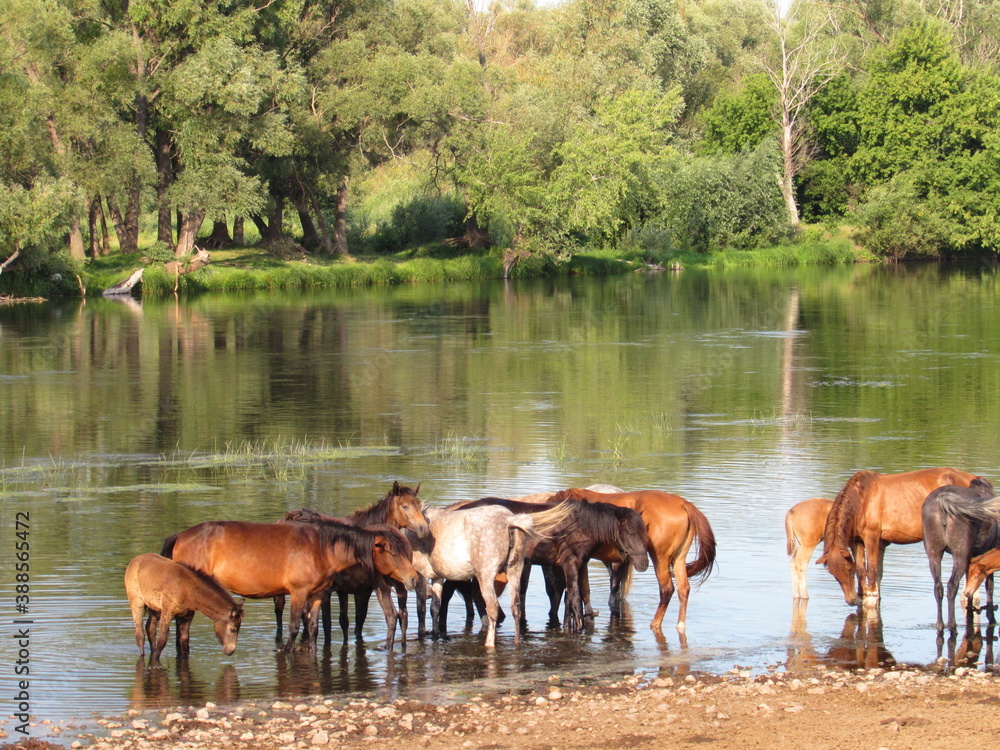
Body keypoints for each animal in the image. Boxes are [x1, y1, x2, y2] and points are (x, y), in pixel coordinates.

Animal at [162, 519, 382, 651]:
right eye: (387, 548)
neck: (320, 548)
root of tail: (181, 535)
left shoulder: (317, 594)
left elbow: (312, 627)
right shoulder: (299, 592)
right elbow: (294, 626)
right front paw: (286, 650)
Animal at [413, 502, 572, 648]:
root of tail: (509, 520)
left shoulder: (422, 575)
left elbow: (421, 608)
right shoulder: (437, 576)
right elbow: (434, 607)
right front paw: (435, 635)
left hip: (486, 575)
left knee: (492, 608)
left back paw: (489, 643)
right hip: (514, 570)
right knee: (516, 607)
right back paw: (516, 641)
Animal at [549, 488, 716, 632]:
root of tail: (683, 504)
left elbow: (583, 590)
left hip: (660, 558)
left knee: (667, 589)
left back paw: (655, 623)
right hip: (678, 559)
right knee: (683, 589)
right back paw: (680, 624)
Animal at [818, 467, 985, 609]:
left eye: (848, 570)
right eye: (833, 573)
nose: (851, 601)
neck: (862, 500)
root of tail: (974, 478)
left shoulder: (872, 537)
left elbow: (871, 571)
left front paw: (870, 601)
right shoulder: (859, 542)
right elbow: (867, 571)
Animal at [922, 478, 998, 632]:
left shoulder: (973, 561)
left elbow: (970, 589)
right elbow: (989, 587)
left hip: (934, 553)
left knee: (938, 587)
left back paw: (940, 625)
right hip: (960, 555)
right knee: (952, 585)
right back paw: (952, 625)